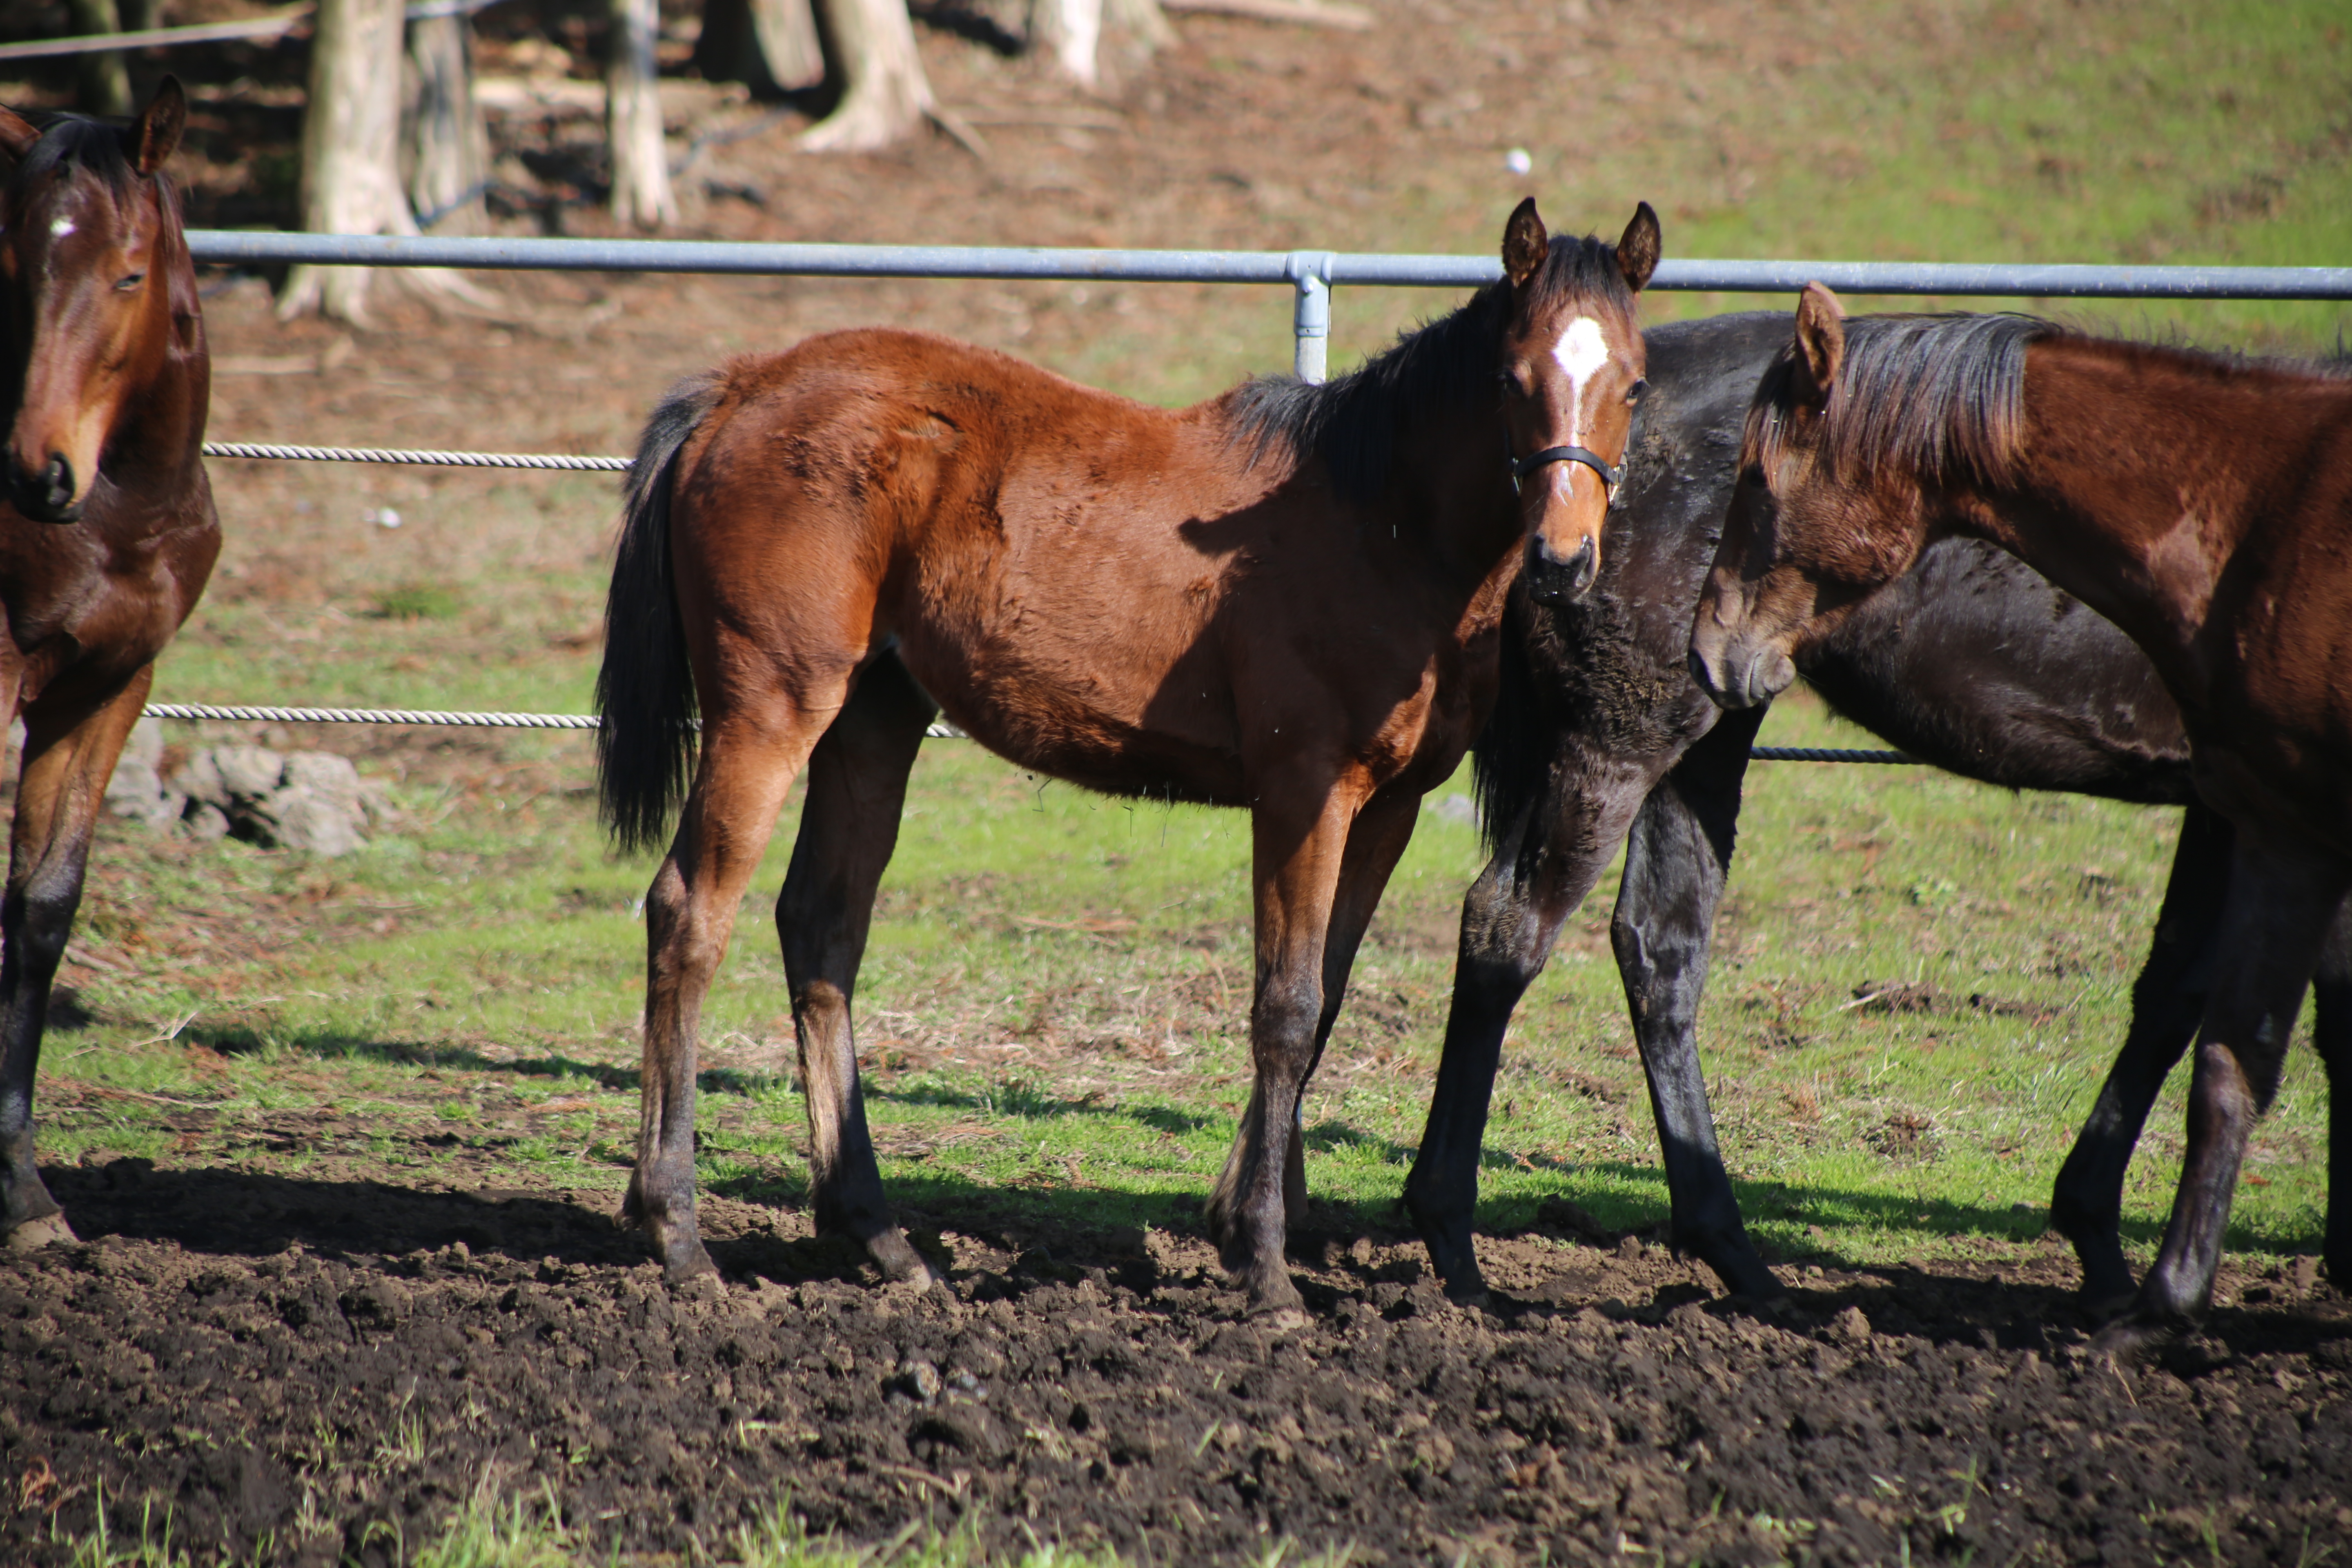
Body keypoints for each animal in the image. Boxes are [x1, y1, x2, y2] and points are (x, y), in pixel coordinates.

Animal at [597, 202, 1665, 1316]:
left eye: (1633, 383)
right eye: (1510, 377)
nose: (1563, 561)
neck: (1385, 526)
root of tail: (742, 387)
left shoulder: (1387, 808)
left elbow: (1324, 1000)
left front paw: (1241, 1226)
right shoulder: (1303, 792)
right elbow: (1284, 1009)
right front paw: (1264, 1265)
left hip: (872, 720)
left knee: (820, 929)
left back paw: (881, 1239)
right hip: (770, 707)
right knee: (689, 914)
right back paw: (678, 1232)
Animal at [1693, 285, 2352, 1354]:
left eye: (1757, 475)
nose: (1708, 648)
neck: (2263, 510)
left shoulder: (2281, 822)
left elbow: (2216, 1024)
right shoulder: (2271, 819)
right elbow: (2224, 1044)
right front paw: (2145, 1292)